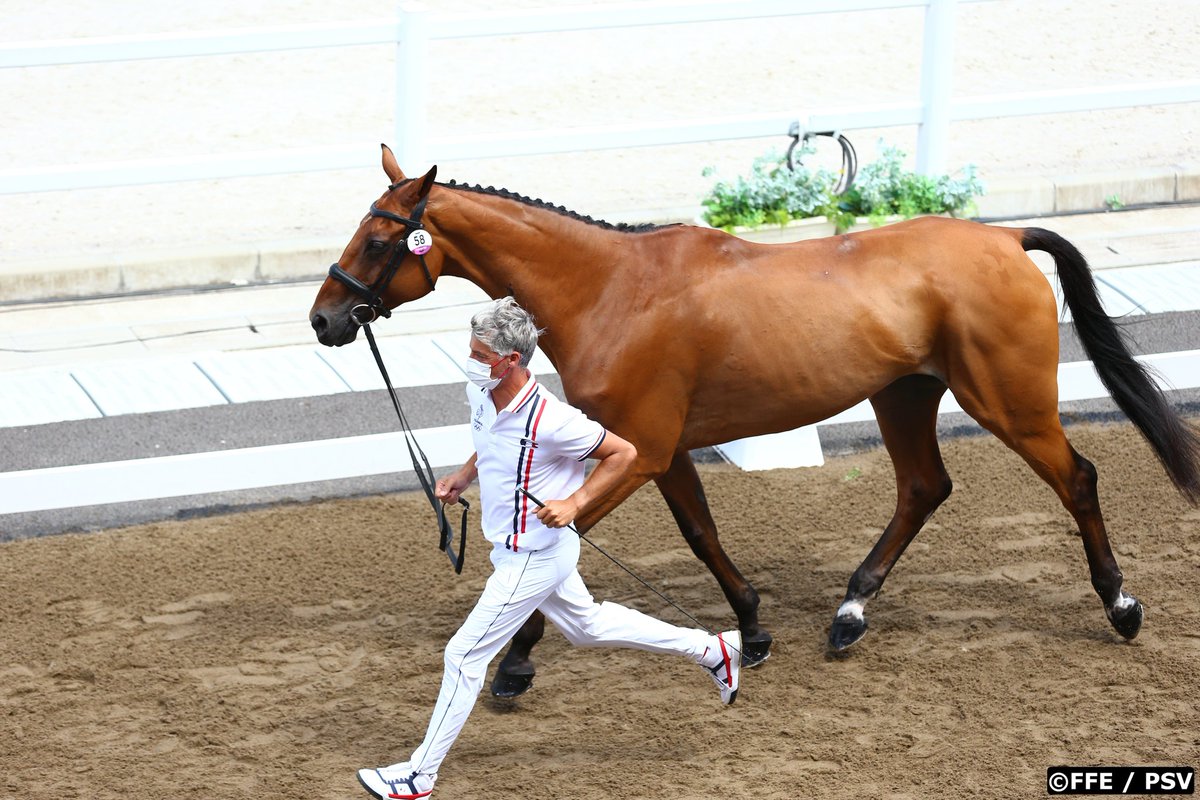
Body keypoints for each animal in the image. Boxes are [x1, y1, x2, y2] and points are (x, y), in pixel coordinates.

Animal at [310, 145, 1200, 697]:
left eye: (381, 238)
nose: (324, 319)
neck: (610, 290)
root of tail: (1007, 239)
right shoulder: (658, 451)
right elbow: (701, 532)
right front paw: (753, 624)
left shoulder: (639, 451)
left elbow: (558, 550)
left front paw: (514, 666)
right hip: (904, 395)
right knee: (923, 487)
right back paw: (849, 615)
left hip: (1008, 401)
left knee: (1075, 478)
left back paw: (1121, 608)